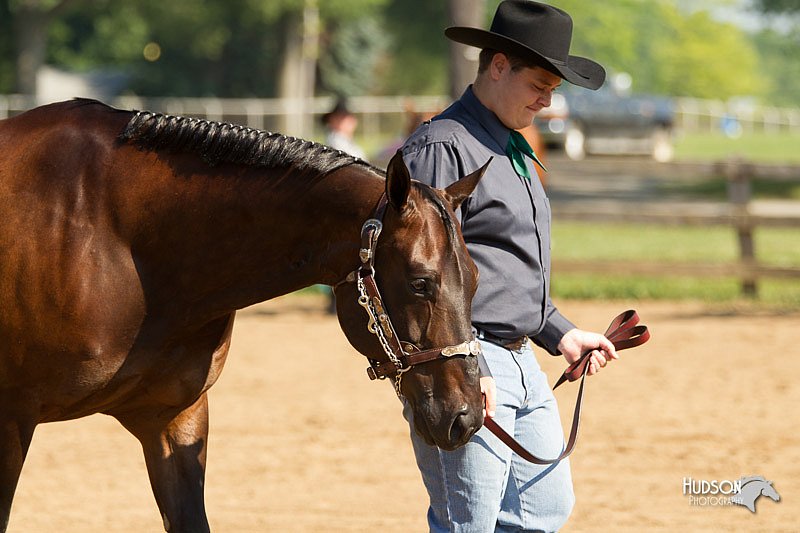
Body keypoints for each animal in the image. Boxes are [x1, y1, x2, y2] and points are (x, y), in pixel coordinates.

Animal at [0, 97, 488, 528]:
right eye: (420, 282)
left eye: (476, 279)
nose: (466, 415)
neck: (113, 234)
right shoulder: (11, 423)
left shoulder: (173, 417)